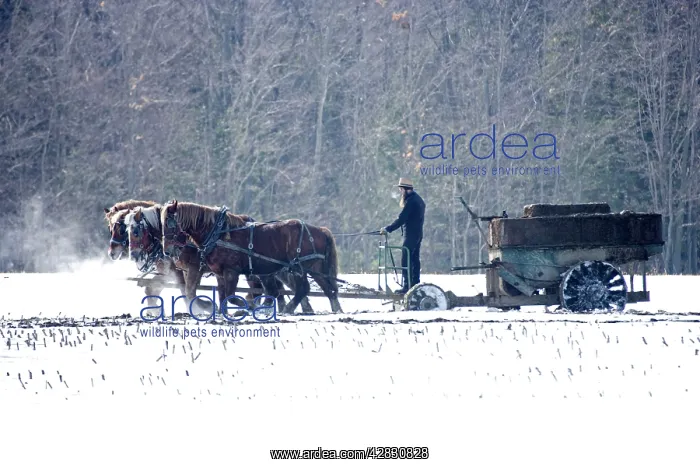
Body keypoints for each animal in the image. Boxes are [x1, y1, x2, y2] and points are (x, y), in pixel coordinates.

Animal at [127, 204, 314, 314]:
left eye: (135, 231)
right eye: (126, 229)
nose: (133, 254)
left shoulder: (194, 269)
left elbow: (189, 291)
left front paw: (205, 307)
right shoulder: (180, 270)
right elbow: (159, 288)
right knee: (271, 289)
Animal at [160, 200, 342, 315]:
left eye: (170, 223)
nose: (167, 250)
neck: (218, 233)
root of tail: (320, 230)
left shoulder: (231, 271)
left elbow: (231, 296)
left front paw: (246, 307)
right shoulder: (219, 273)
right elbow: (222, 296)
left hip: (298, 268)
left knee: (303, 288)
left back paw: (288, 309)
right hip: (313, 268)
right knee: (327, 289)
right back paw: (335, 310)